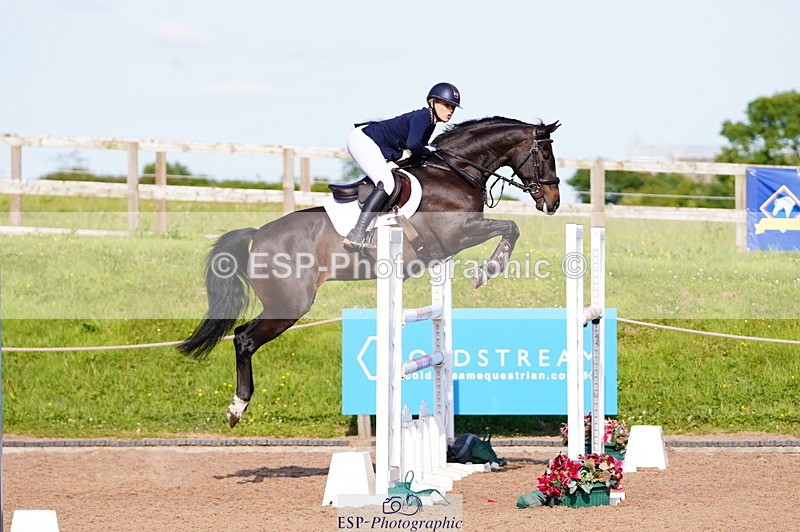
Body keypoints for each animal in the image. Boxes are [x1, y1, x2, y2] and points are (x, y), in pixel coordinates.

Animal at [179, 116, 561, 427]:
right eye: (544, 155)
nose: (554, 202)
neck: (454, 171)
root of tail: (257, 234)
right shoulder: (459, 231)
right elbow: (510, 227)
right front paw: (489, 269)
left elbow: (509, 227)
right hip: (289, 304)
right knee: (244, 339)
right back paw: (237, 407)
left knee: (241, 335)